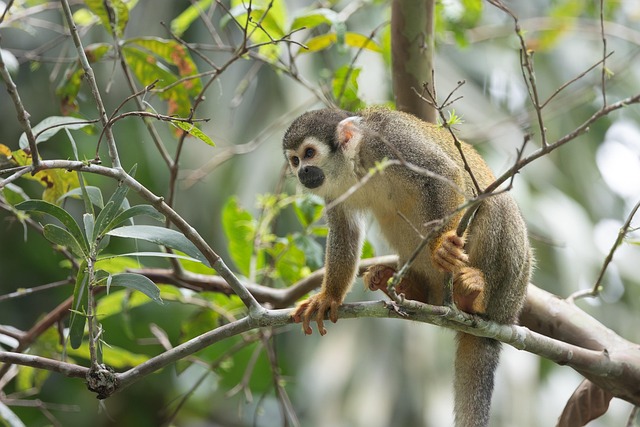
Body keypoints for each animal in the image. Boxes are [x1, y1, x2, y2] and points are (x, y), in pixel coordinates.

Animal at [282, 107, 532, 427]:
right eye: (295, 159)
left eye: (309, 153)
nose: (302, 172)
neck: (355, 163)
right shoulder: (336, 189)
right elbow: (345, 230)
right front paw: (329, 297)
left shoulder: (389, 142)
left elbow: (444, 174)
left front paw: (443, 248)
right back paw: (408, 288)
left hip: (510, 289)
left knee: (494, 203)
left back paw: (472, 296)